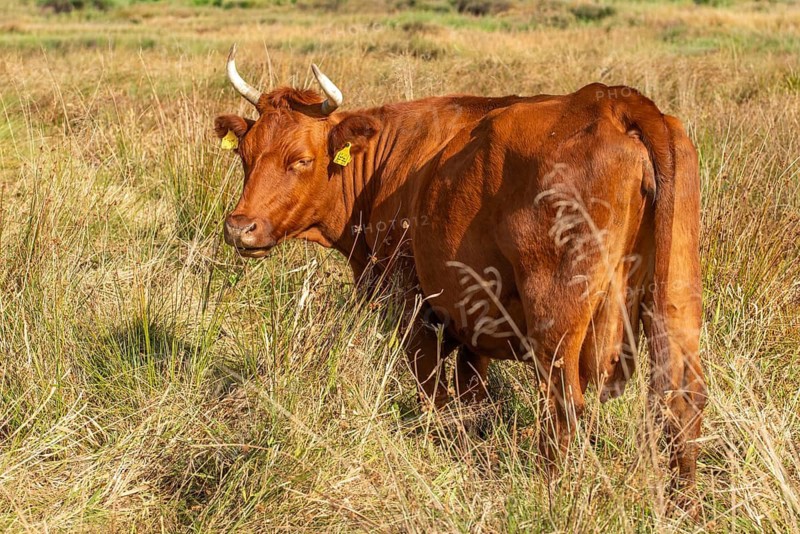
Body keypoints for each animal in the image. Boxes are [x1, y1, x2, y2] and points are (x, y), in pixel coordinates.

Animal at [215, 45, 706, 506]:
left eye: (301, 159)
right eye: (245, 154)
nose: (240, 226)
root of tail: (610, 101)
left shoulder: (412, 308)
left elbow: (434, 392)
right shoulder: (475, 322)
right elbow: (471, 399)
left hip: (557, 312)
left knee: (564, 404)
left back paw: (551, 496)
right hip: (676, 295)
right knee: (682, 401)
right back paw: (683, 505)